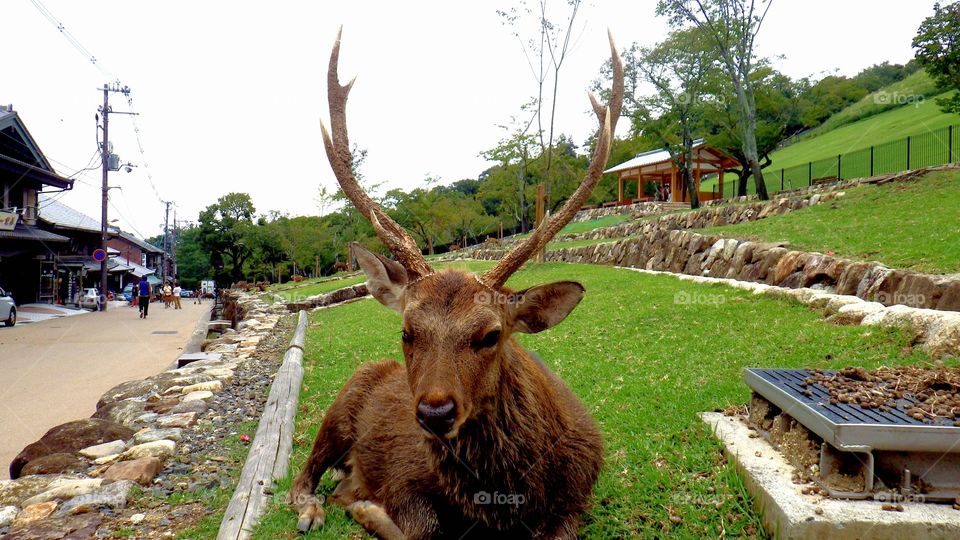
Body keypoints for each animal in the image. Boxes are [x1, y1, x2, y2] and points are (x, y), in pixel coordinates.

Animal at [288, 29, 628, 540]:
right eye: (407, 332)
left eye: (491, 335)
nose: (434, 413)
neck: (503, 502)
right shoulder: (404, 476)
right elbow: (425, 528)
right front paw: (368, 508)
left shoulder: (578, 499)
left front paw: (363, 505)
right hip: (339, 408)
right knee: (302, 476)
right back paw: (321, 507)